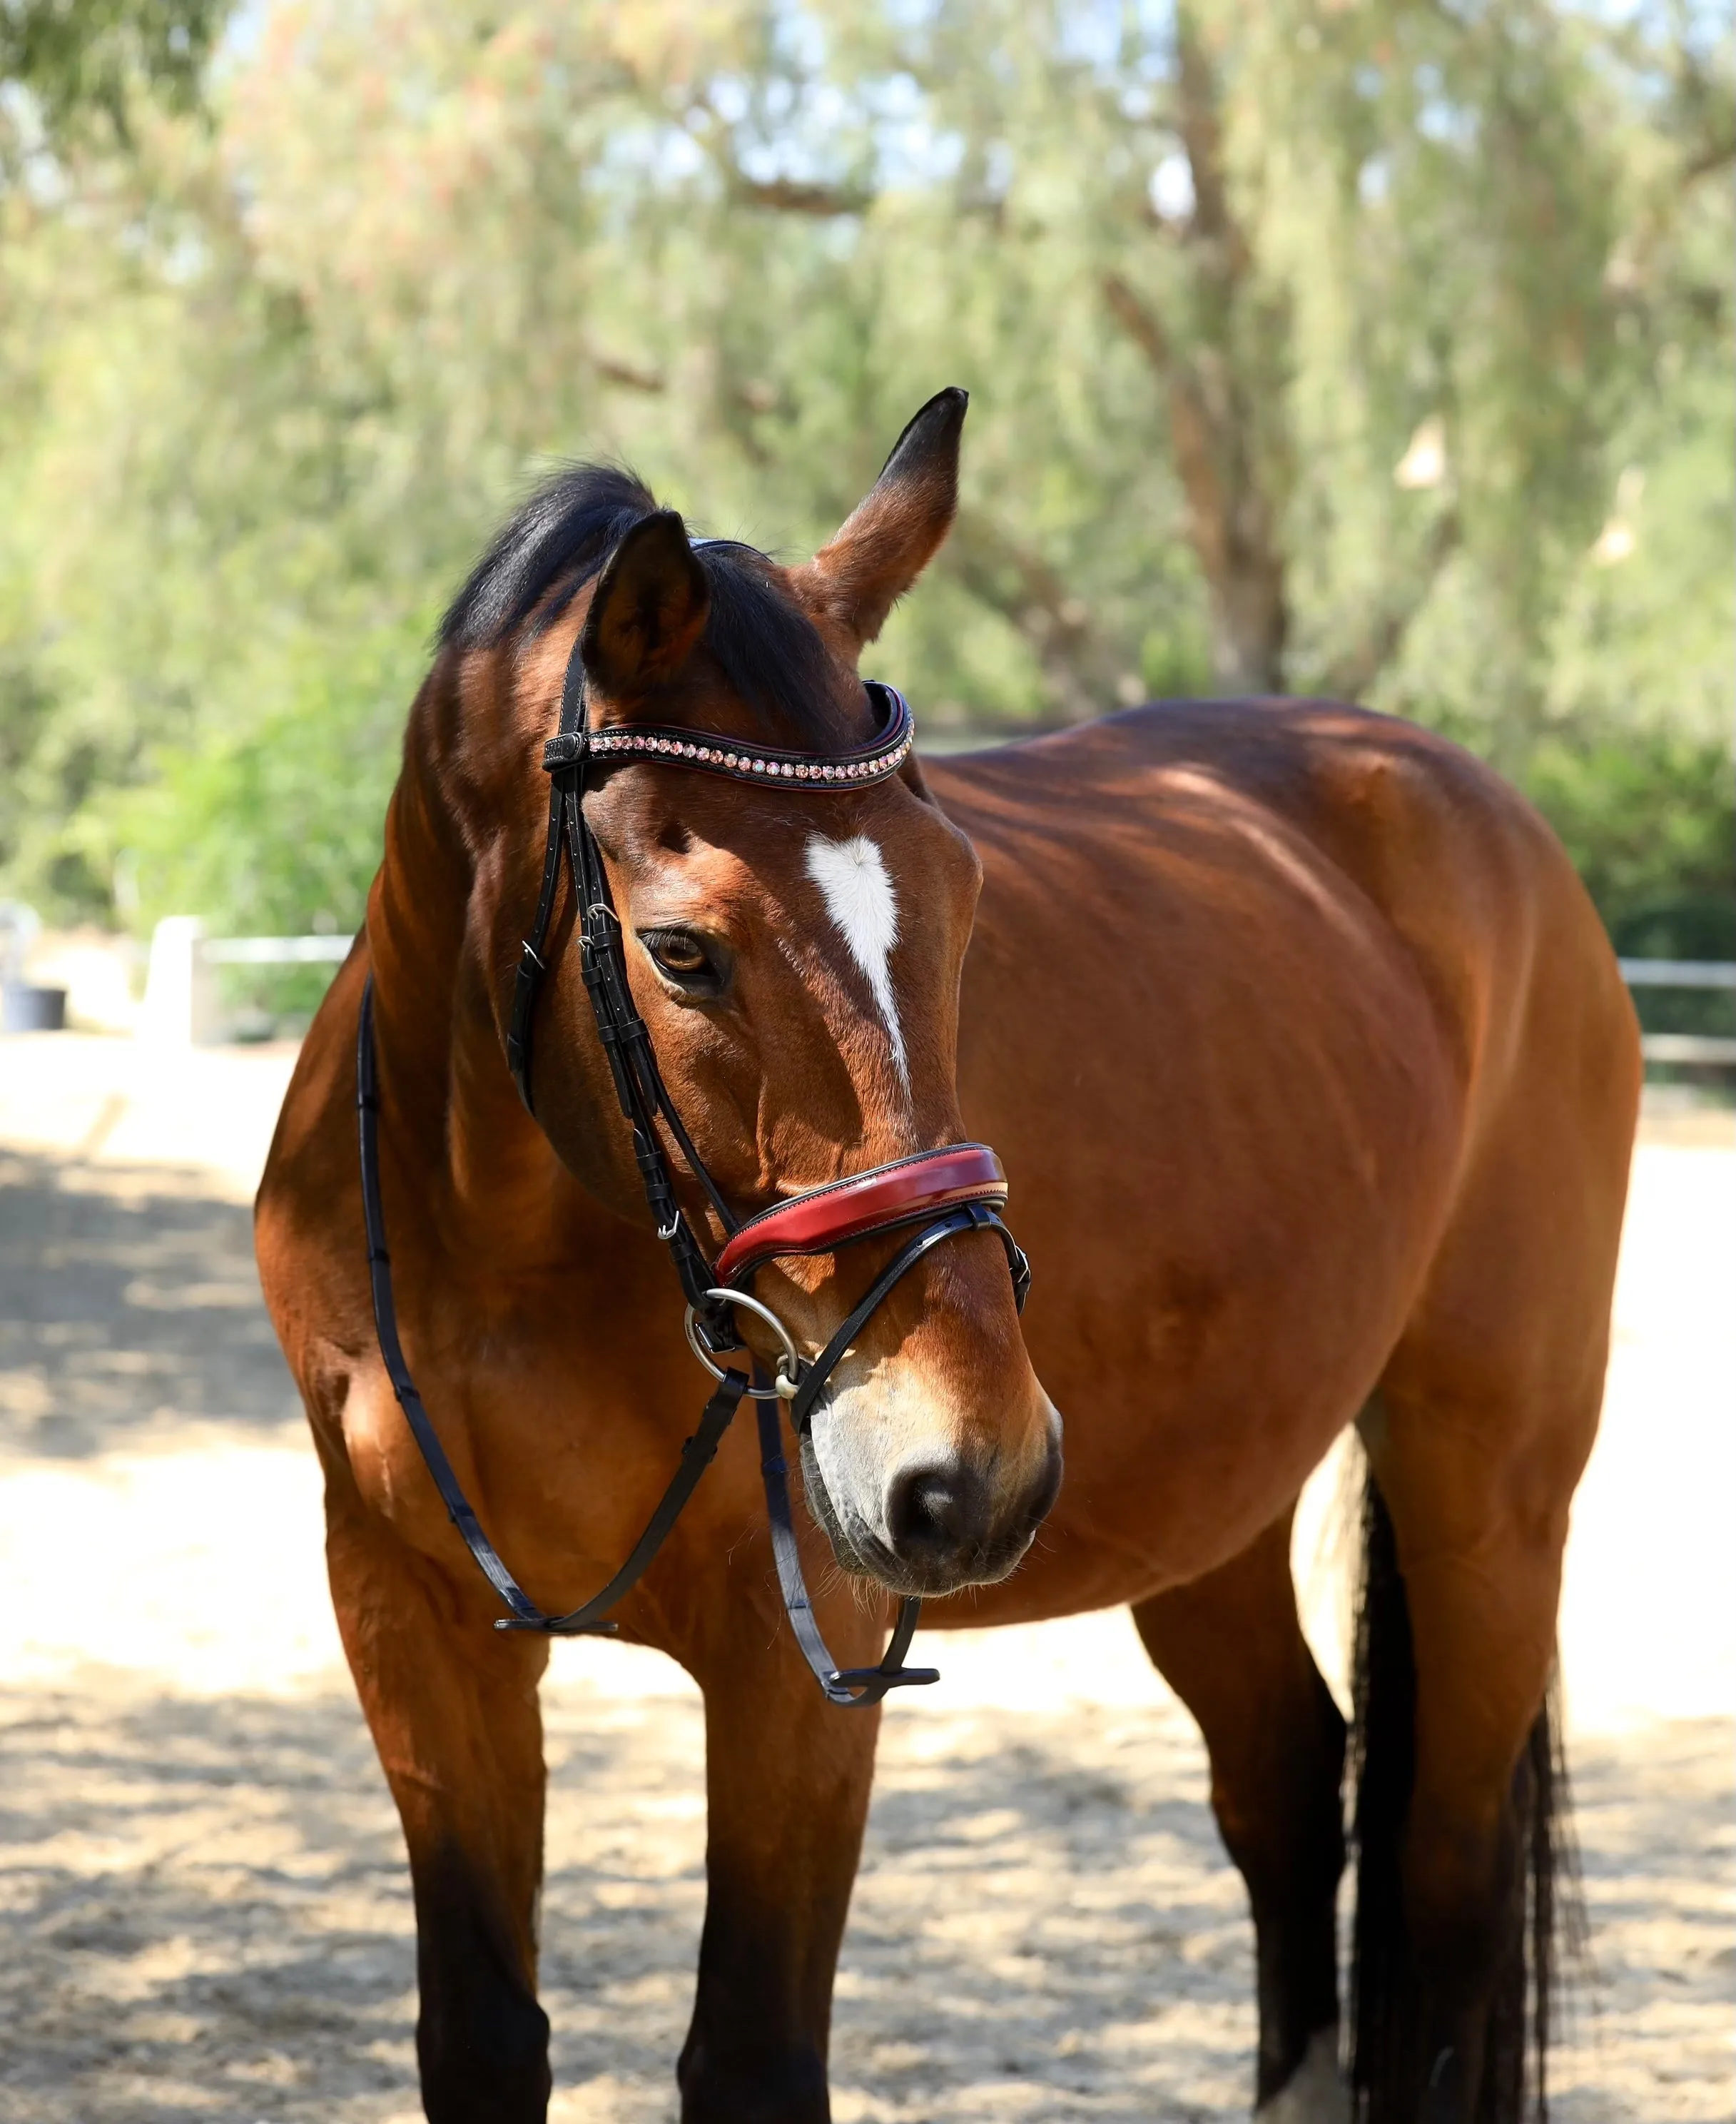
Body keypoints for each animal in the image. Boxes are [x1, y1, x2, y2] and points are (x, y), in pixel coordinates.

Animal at [256, 390, 1638, 2115]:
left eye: (963, 897)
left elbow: (752, 2054)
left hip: (1488, 1495)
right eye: (681, 951)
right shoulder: (410, 1622)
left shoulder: (800, 1665)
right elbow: (483, 2037)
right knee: (1285, 1780)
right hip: (1208, 1509)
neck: (513, 1246)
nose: (967, 1468)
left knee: (1441, 1882)